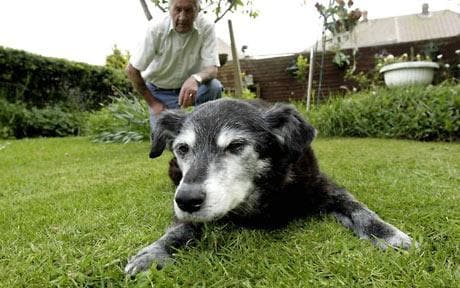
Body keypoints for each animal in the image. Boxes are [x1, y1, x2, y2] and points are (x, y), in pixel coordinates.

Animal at [124, 98, 416, 274]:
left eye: (236, 146)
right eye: (183, 148)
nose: (186, 200)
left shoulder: (323, 187)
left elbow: (358, 209)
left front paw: (386, 234)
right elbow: (180, 228)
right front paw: (154, 252)